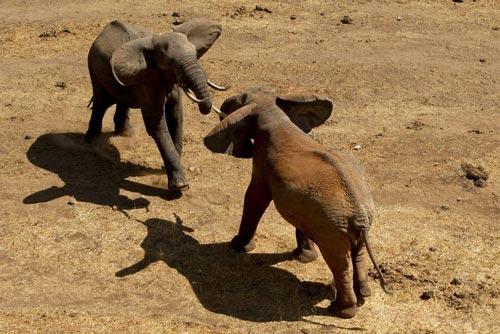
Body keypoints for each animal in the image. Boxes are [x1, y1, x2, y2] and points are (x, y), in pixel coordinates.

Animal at [87, 18, 228, 190]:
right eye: (171, 63)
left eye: (195, 54)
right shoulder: (147, 79)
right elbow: (157, 125)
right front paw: (180, 185)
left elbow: (176, 118)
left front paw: (166, 170)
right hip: (93, 65)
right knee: (100, 102)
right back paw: (92, 143)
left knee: (121, 100)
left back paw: (125, 133)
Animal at [203, 87, 390, 318]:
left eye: (242, 100)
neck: (274, 113)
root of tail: (360, 216)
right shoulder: (303, 201)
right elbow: (299, 220)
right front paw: (304, 257)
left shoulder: (262, 163)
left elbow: (255, 197)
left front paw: (237, 247)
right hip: (351, 223)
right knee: (358, 254)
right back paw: (364, 295)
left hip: (332, 230)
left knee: (339, 263)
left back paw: (340, 310)